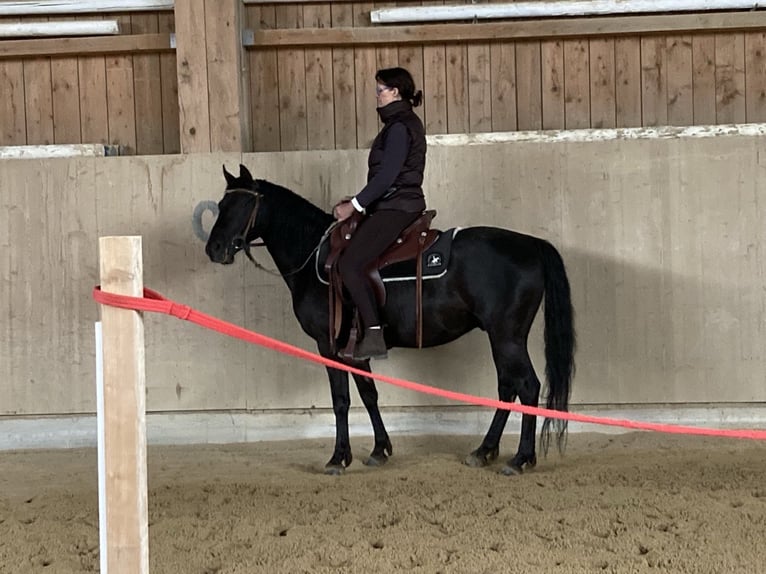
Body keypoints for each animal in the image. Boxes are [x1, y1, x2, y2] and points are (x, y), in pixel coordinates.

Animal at [205, 164, 575, 476]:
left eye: (239, 206)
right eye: (221, 206)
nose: (214, 249)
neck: (315, 259)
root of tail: (531, 244)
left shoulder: (328, 345)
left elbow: (341, 401)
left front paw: (338, 458)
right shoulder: (355, 349)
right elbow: (368, 394)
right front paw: (380, 449)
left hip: (507, 337)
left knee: (527, 386)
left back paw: (520, 458)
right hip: (501, 337)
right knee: (506, 388)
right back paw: (484, 451)